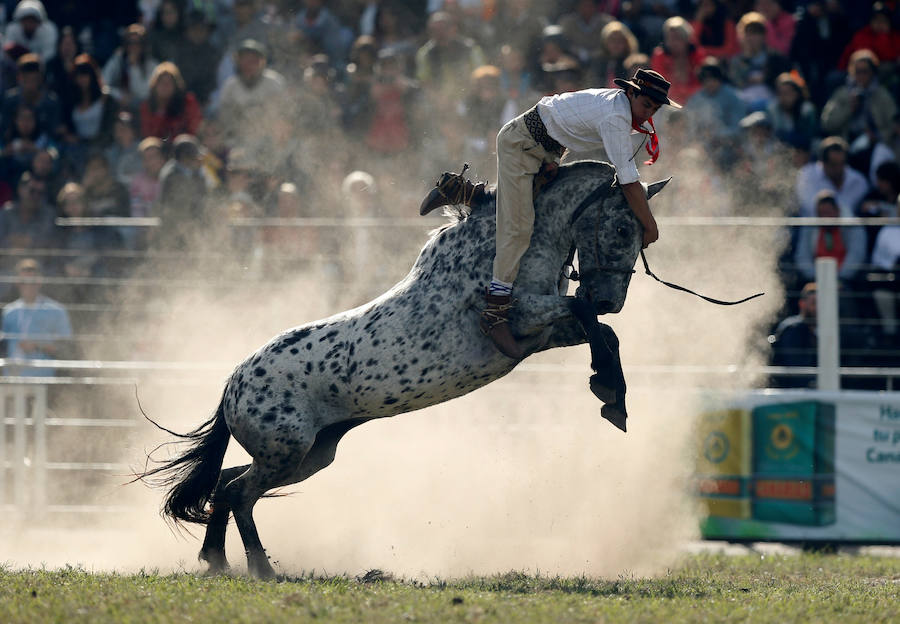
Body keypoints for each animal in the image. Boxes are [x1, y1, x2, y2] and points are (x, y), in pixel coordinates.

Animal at [138, 160, 670, 578]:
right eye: (622, 229)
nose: (611, 298)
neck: (507, 245)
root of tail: (233, 385)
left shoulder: (542, 335)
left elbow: (602, 332)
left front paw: (612, 395)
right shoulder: (522, 318)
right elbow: (587, 317)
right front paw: (609, 388)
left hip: (311, 455)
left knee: (225, 485)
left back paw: (216, 561)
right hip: (286, 454)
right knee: (240, 493)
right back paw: (261, 569)